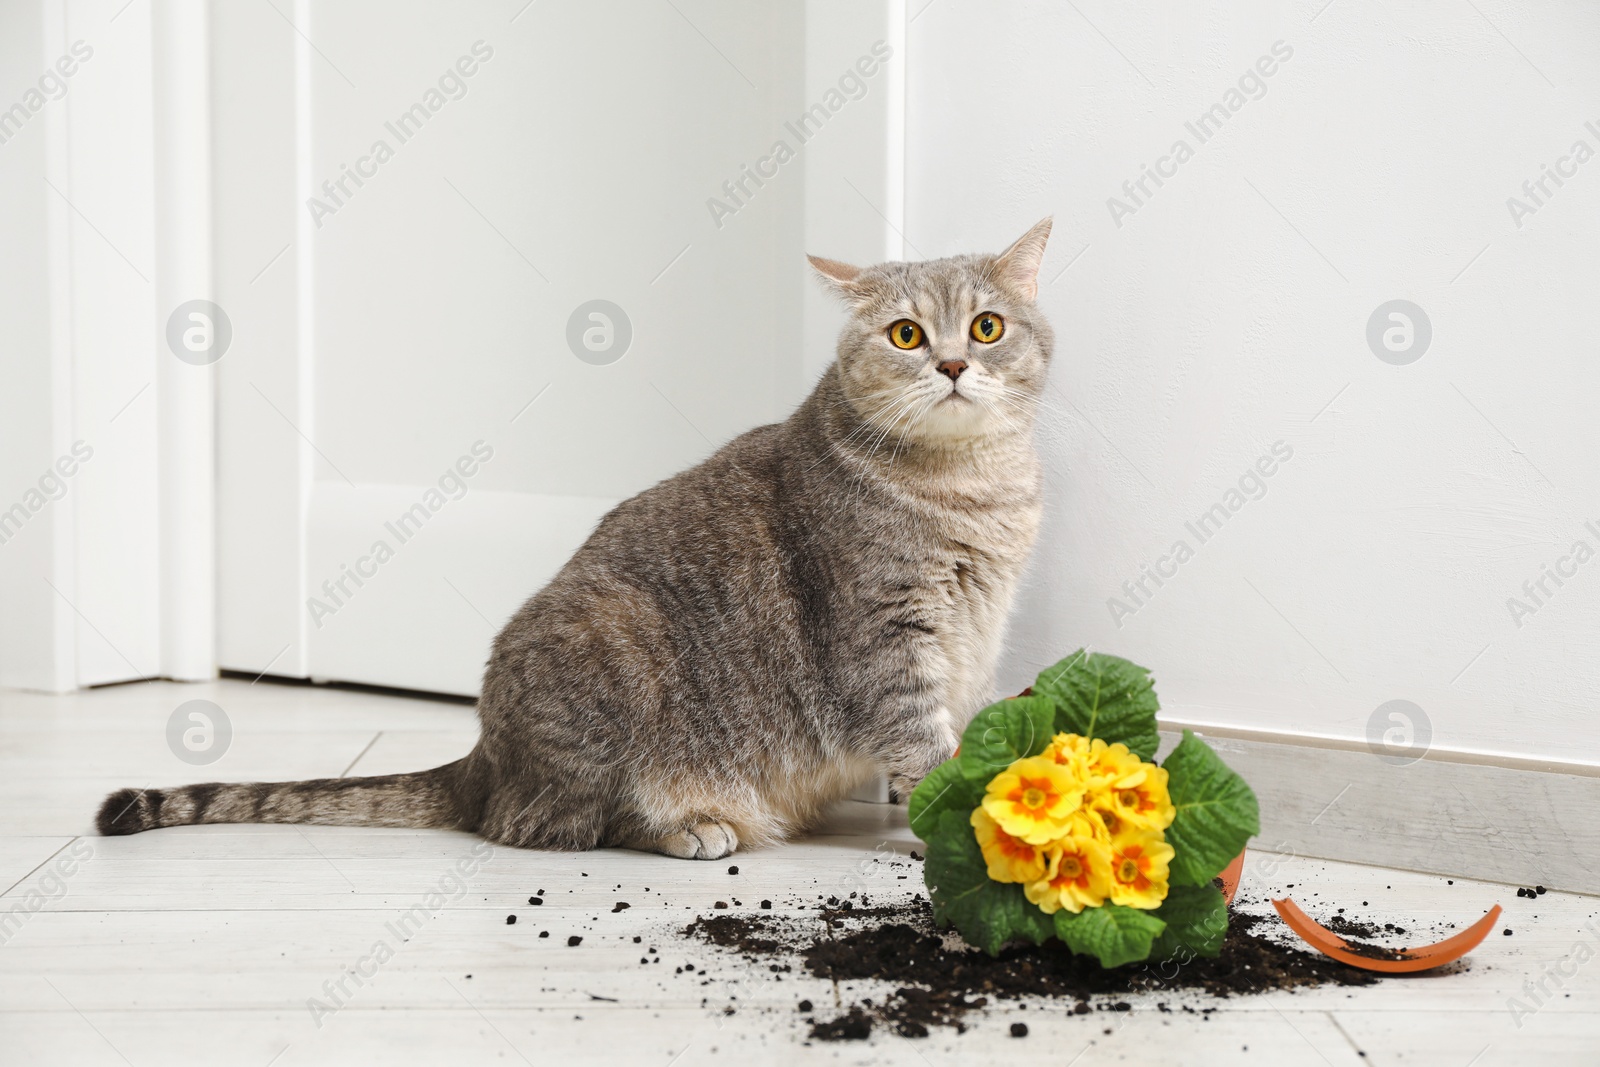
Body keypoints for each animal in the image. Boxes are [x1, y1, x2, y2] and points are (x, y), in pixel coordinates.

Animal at [93, 217, 1056, 857]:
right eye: (906, 334)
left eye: (986, 327)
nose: (952, 364)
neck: (975, 489)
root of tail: (485, 756)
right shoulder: (882, 633)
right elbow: (921, 740)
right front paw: (949, 823)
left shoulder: (978, 632)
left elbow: (959, 732)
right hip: (613, 646)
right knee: (556, 822)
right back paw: (696, 824)